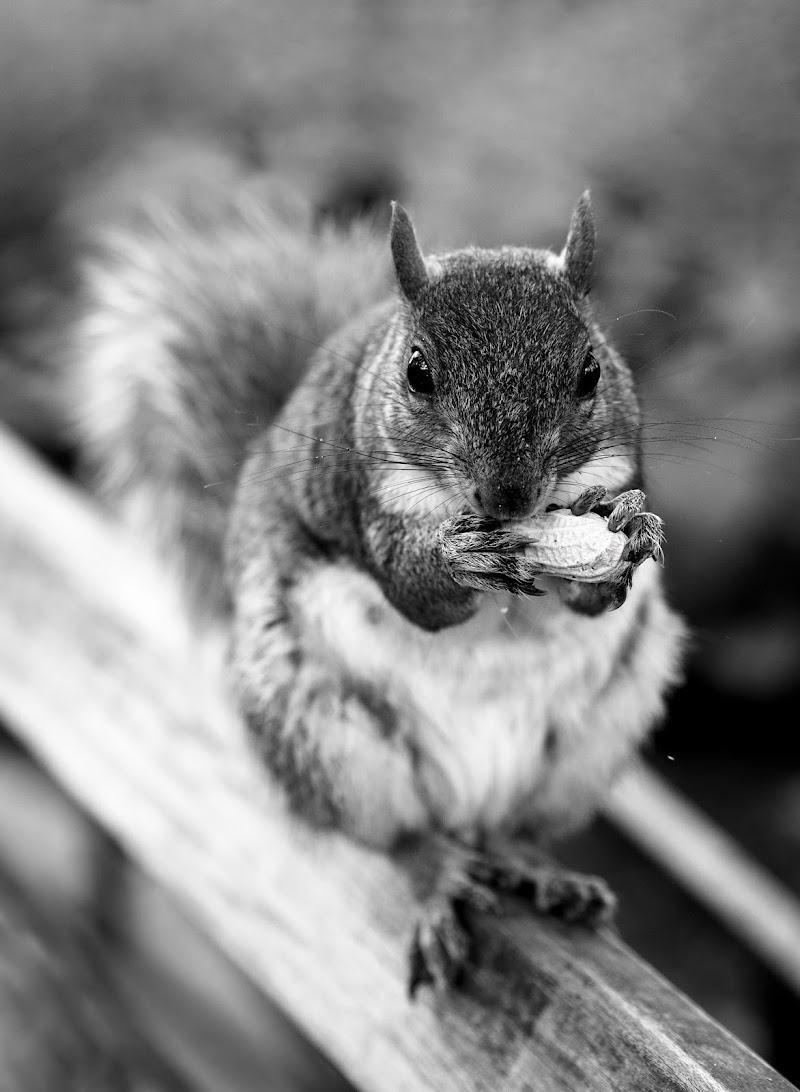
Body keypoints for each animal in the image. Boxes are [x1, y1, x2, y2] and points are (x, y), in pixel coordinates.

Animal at [68, 158, 685, 995]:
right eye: (418, 371)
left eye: (591, 369)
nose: (509, 497)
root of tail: (467, 800)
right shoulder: (368, 498)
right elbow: (414, 591)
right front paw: (456, 558)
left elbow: (598, 593)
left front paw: (630, 525)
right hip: (329, 736)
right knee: (402, 838)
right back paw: (442, 875)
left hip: (590, 740)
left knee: (507, 828)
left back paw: (537, 867)